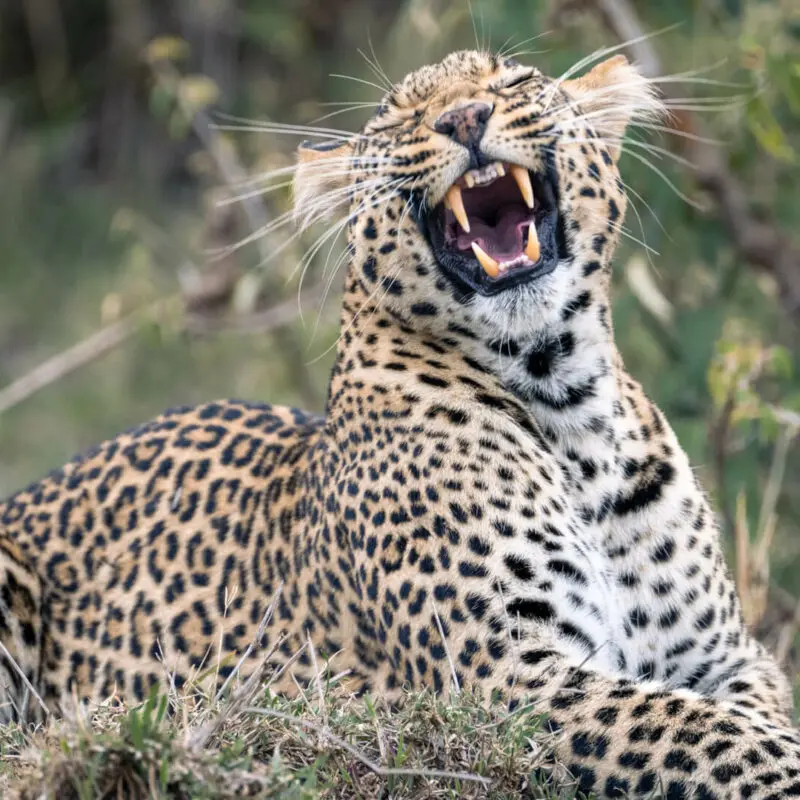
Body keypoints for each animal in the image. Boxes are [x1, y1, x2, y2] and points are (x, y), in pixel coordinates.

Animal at [2, 48, 800, 798]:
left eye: (512, 82)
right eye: (397, 121)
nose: (464, 118)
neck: (568, 405)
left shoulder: (725, 656)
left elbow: (746, 720)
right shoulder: (505, 678)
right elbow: (718, 736)